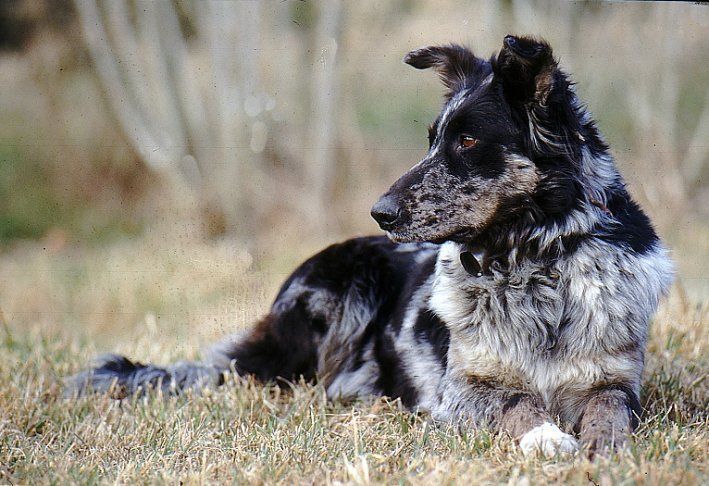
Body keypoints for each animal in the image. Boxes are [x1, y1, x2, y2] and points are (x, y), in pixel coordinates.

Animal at [68, 36, 676, 458]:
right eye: (431, 140)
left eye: (467, 141)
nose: (380, 211)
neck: (536, 266)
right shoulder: (462, 390)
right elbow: (517, 403)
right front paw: (546, 439)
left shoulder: (616, 380)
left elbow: (609, 412)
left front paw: (607, 448)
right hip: (348, 284)